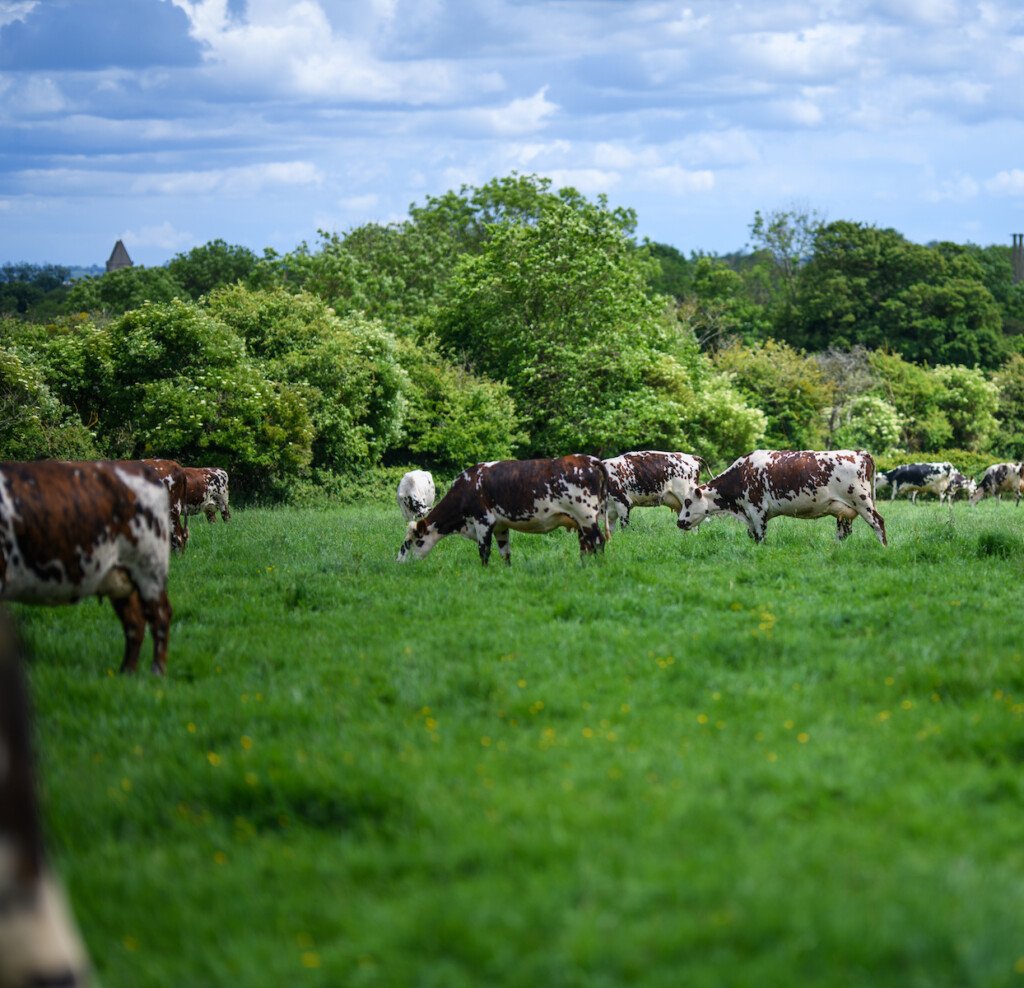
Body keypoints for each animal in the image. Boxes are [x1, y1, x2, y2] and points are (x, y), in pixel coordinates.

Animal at [0, 458, 172, 675]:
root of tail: (141, 469)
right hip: (121, 578)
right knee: (135, 623)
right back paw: (126, 674)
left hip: (150, 570)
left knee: (160, 616)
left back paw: (156, 672)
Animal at [397, 452, 606, 561]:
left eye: (409, 543)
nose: (398, 562)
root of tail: (589, 459)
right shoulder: (501, 527)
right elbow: (505, 554)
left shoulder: (483, 521)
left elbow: (484, 552)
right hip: (581, 522)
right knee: (586, 546)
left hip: (586, 516)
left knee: (598, 541)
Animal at [675, 448, 884, 548]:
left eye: (687, 501)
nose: (679, 522)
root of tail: (859, 453)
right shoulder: (751, 515)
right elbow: (752, 535)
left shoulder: (757, 509)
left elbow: (760, 536)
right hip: (845, 511)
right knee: (843, 533)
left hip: (862, 501)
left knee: (878, 523)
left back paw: (884, 548)